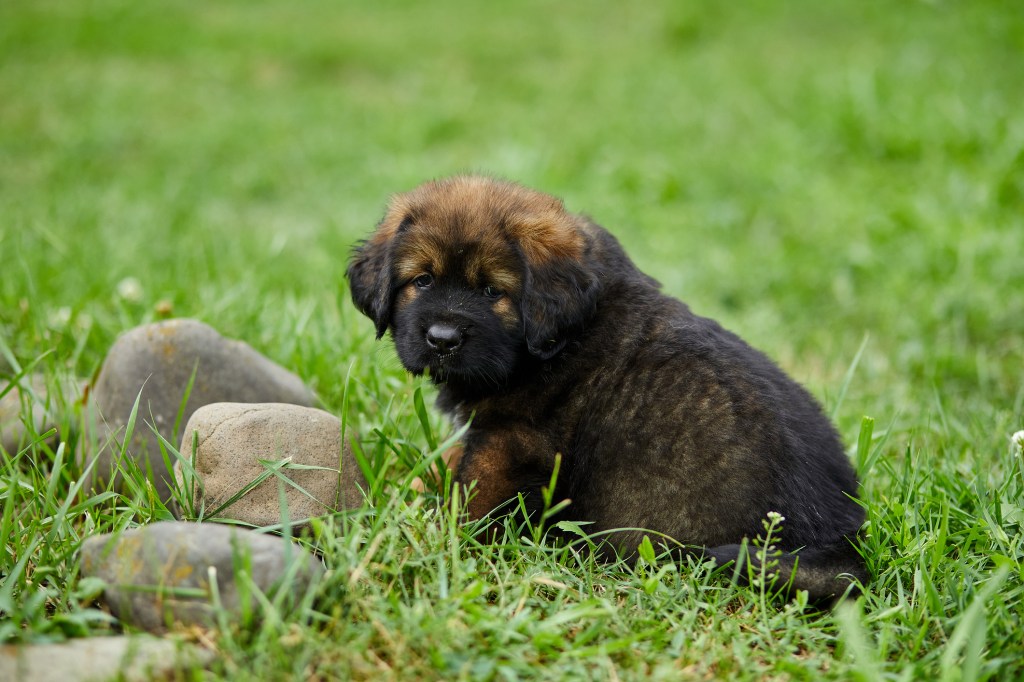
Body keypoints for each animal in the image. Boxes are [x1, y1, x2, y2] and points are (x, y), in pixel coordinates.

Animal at [348, 176, 868, 602]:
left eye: (493, 291)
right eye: (422, 280)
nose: (442, 339)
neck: (557, 338)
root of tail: (838, 540)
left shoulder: (513, 440)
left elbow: (476, 493)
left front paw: (447, 538)